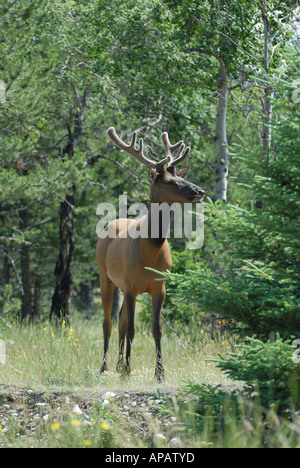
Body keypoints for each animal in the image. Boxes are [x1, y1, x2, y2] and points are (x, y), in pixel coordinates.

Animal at [96, 127, 204, 380]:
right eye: (168, 181)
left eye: (181, 177)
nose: (200, 191)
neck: (151, 249)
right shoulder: (131, 284)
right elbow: (133, 329)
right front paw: (128, 370)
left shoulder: (160, 286)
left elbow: (157, 330)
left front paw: (160, 373)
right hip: (105, 275)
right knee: (108, 323)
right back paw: (105, 368)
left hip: (122, 285)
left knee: (120, 321)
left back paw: (117, 365)